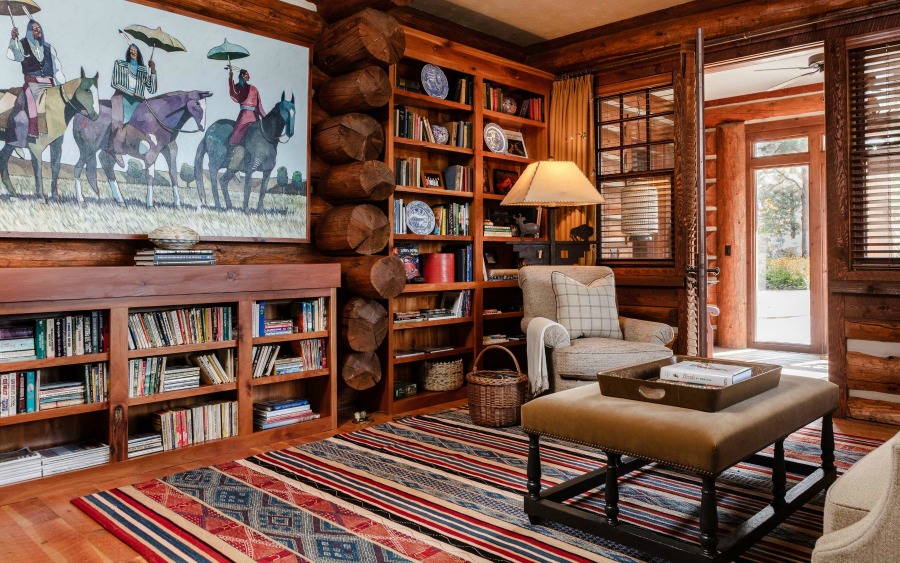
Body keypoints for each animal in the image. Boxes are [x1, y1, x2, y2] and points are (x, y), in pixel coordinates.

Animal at [72, 90, 213, 207]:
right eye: (197, 104)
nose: (202, 127)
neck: (159, 118)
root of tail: (80, 114)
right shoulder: (151, 153)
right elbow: (150, 176)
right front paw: (149, 204)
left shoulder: (169, 151)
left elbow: (173, 174)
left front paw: (177, 204)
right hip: (88, 149)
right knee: (78, 168)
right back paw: (81, 201)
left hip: (107, 150)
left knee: (106, 164)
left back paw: (120, 200)